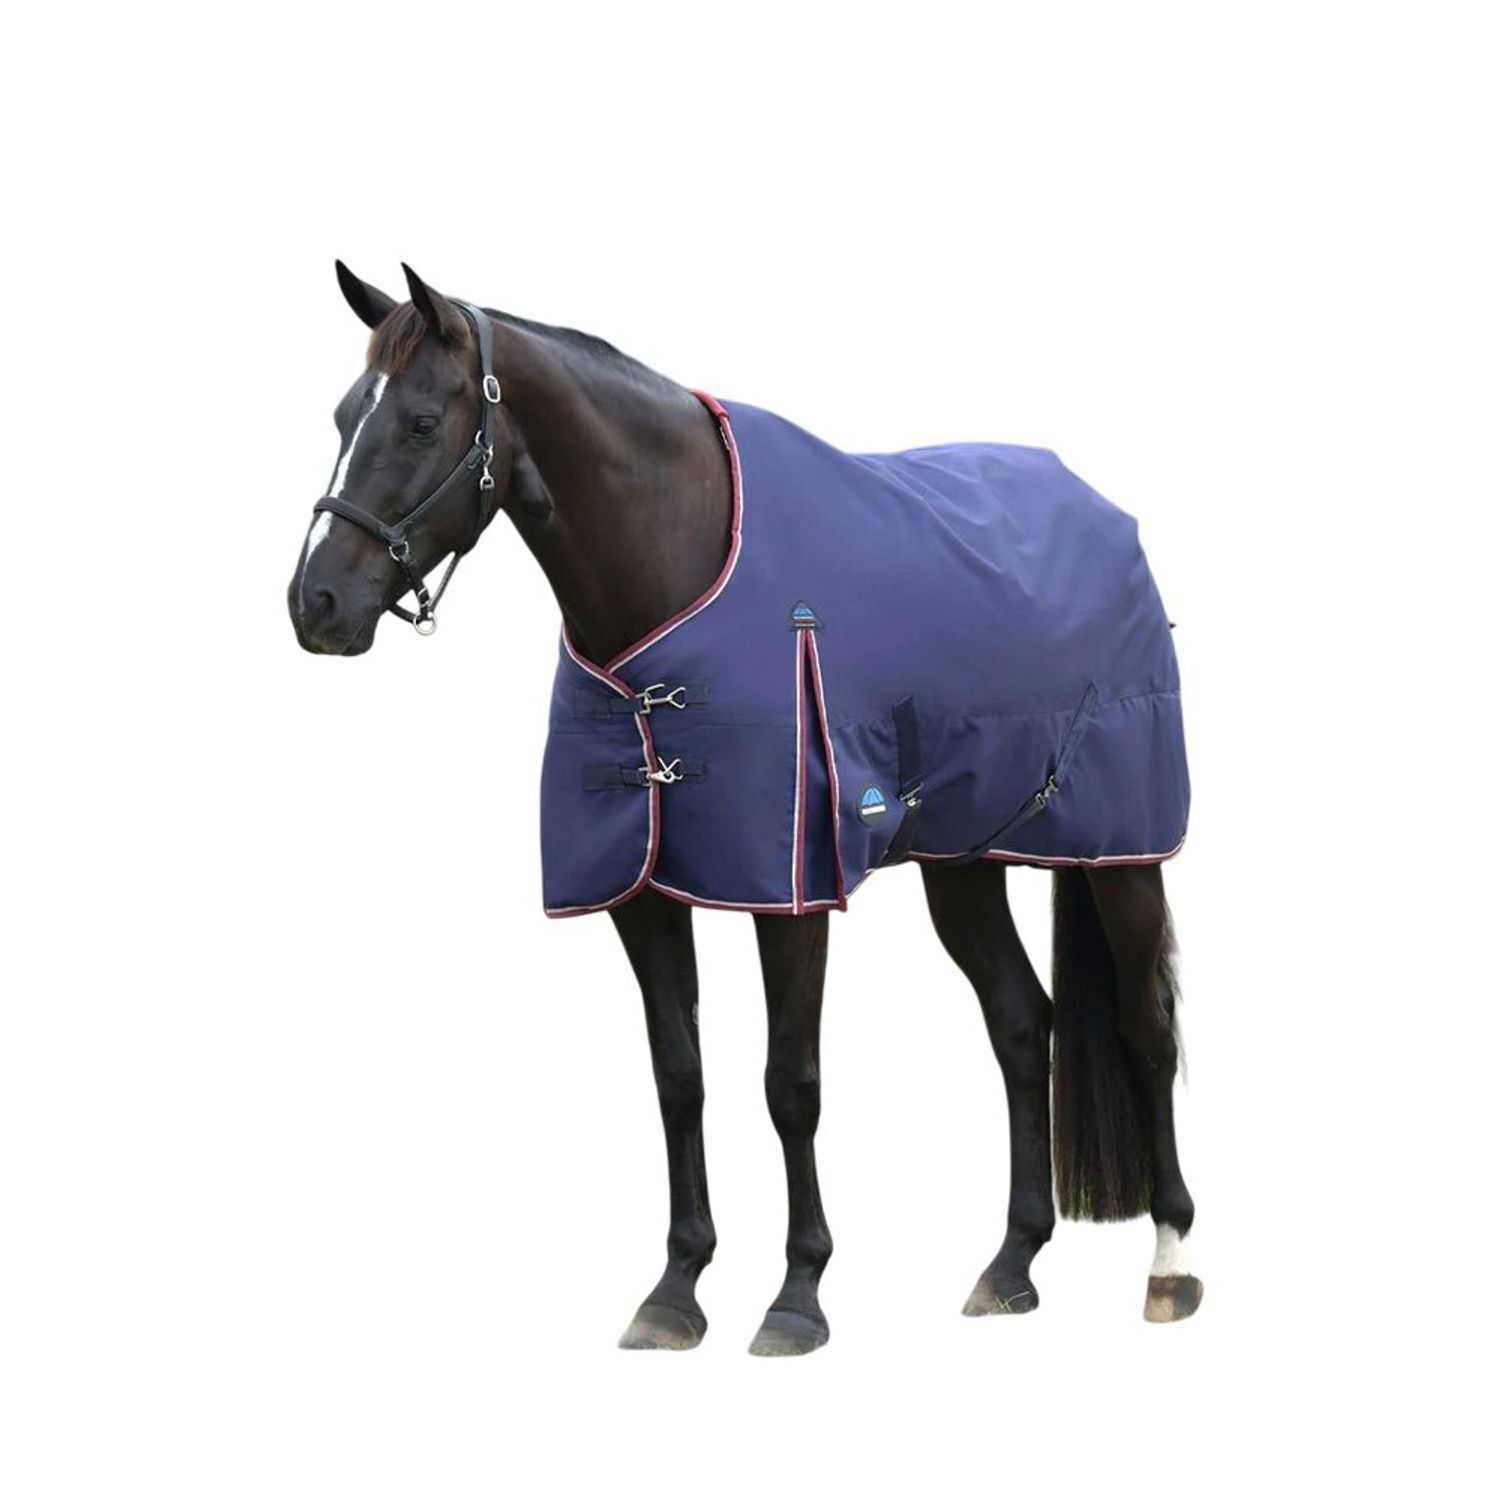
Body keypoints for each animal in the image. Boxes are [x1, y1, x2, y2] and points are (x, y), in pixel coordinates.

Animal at [288, 262, 1202, 1355]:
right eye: (344, 415)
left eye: (423, 420)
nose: (314, 606)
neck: (674, 576)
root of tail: (1103, 513)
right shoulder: (640, 893)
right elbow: (679, 1078)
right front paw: (675, 1289)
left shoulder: (791, 890)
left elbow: (790, 1084)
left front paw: (797, 1295)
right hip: (963, 864)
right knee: (1024, 1026)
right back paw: (1010, 1265)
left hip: (1123, 855)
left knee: (1147, 1028)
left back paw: (1171, 1264)